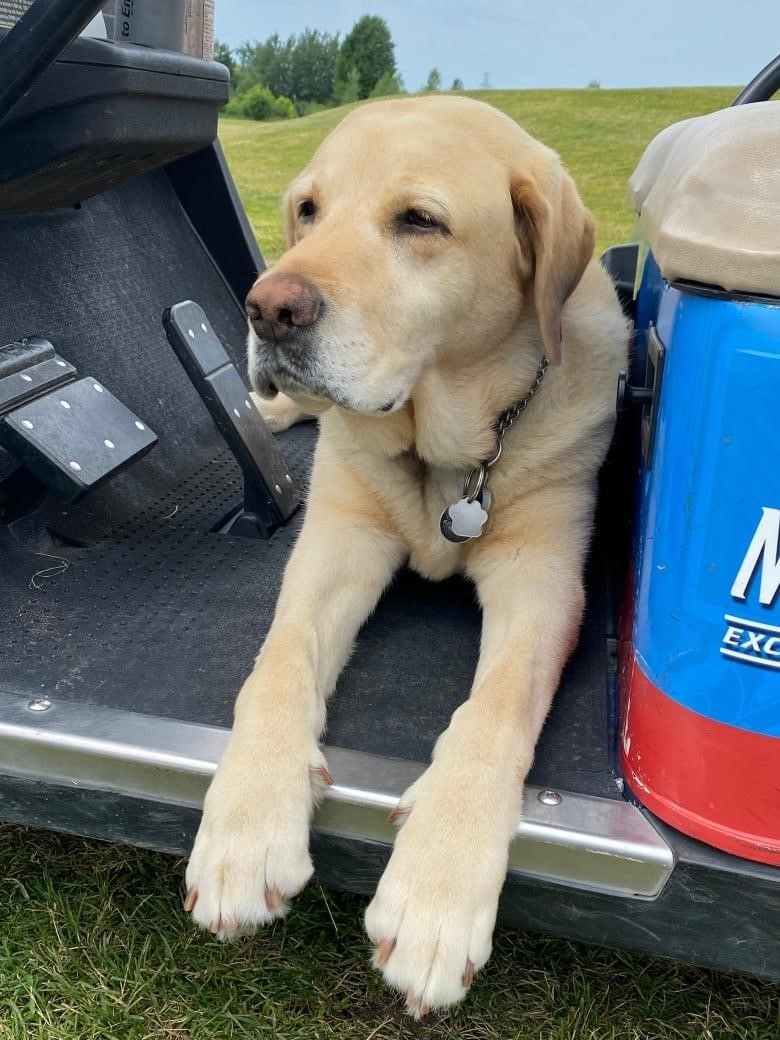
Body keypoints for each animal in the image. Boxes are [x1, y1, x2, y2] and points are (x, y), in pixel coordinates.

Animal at [186, 93, 632, 1010]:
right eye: (308, 210)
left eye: (419, 221)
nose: (267, 307)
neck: (447, 451)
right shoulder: (337, 539)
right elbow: (277, 663)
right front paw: (245, 826)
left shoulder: (542, 580)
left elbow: (494, 711)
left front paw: (438, 886)